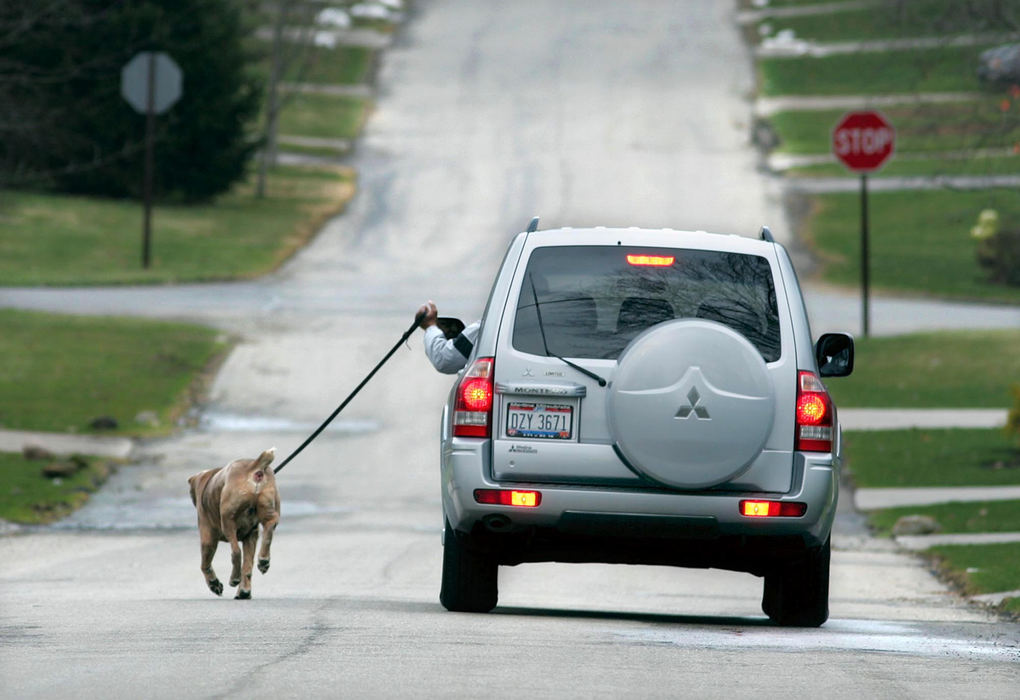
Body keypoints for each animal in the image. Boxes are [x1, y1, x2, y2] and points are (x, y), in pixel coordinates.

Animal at [188, 448, 281, 595]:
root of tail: (254, 466)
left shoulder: (208, 539)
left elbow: (204, 565)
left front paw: (213, 583)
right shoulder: (250, 536)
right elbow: (247, 566)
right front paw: (244, 590)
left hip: (227, 523)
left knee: (236, 552)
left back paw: (234, 578)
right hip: (268, 509)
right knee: (270, 526)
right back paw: (263, 561)